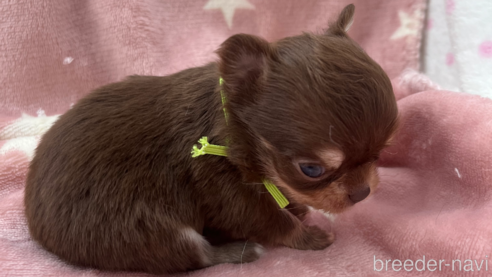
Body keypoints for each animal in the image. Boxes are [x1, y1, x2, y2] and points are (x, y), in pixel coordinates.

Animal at [24, 4, 400, 274]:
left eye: (383, 150)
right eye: (311, 169)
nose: (363, 192)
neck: (234, 134)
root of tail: (38, 230)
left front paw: (296, 207)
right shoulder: (225, 191)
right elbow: (272, 221)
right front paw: (308, 235)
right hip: (147, 232)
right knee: (194, 256)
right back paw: (240, 250)